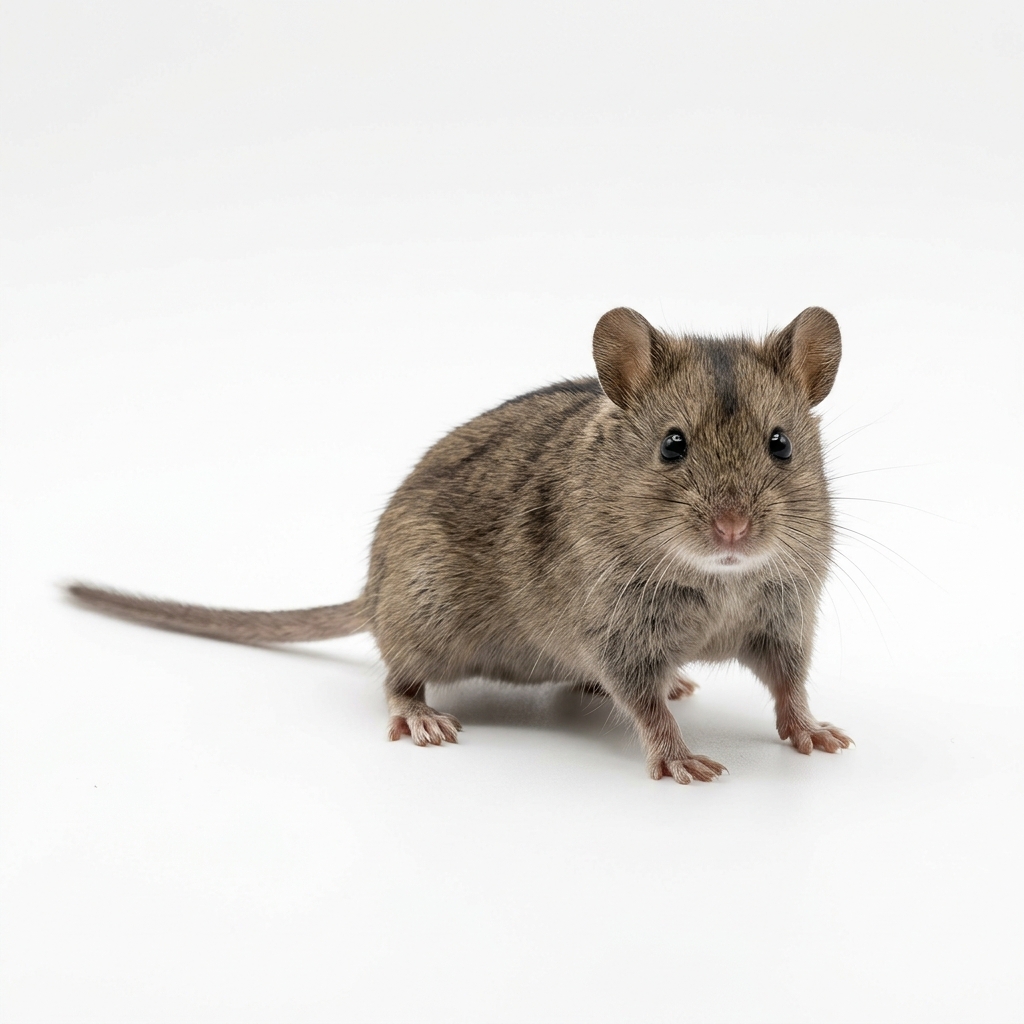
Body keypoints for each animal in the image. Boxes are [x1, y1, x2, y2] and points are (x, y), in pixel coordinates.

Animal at [69, 306, 852, 784]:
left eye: (780, 444)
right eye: (672, 445)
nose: (733, 530)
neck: (722, 577)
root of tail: (370, 592)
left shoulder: (785, 618)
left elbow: (788, 684)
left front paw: (817, 734)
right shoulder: (618, 632)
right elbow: (644, 703)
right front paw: (683, 760)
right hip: (426, 611)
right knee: (395, 676)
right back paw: (421, 717)